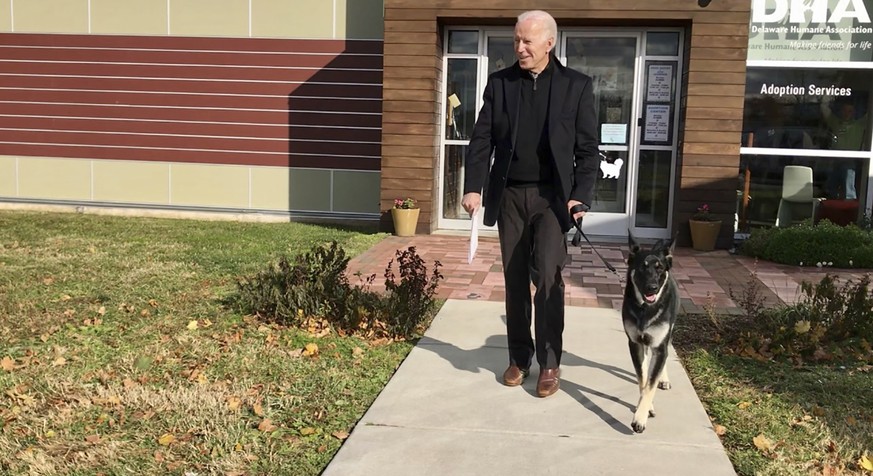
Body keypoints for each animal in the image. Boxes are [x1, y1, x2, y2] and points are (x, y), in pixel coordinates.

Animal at [620, 232, 680, 434]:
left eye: (659, 268)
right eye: (641, 267)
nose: (652, 287)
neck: (645, 309)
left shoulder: (659, 345)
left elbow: (650, 384)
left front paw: (640, 417)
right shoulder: (635, 344)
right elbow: (643, 379)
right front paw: (645, 408)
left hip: (668, 333)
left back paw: (664, 379)